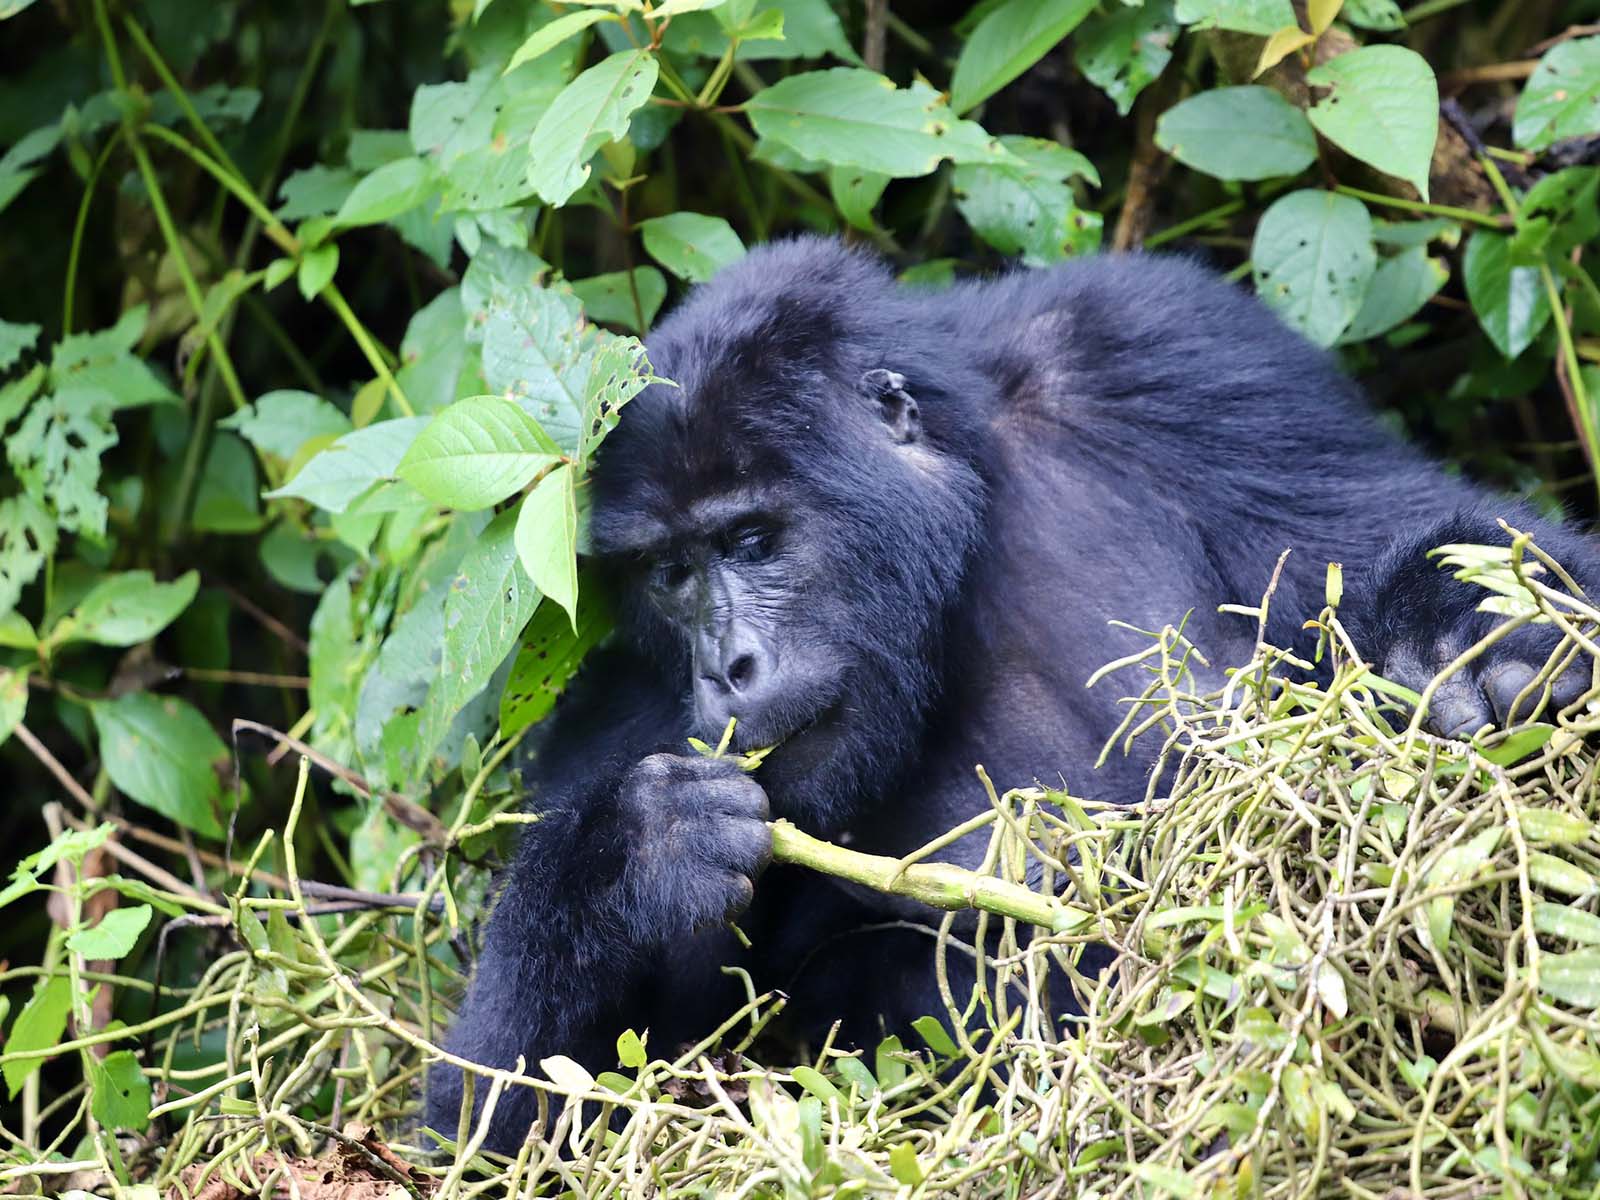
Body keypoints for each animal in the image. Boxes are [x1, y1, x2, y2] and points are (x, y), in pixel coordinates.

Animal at [422, 236, 1587, 1158]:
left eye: (750, 541)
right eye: (669, 574)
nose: (728, 667)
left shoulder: (1163, 347)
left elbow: (1425, 530)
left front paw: (1466, 637)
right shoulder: (616, 712)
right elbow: (496, 1126)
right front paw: (631, 859)